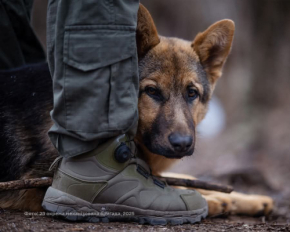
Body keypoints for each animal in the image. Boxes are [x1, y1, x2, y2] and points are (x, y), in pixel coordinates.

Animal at [0, 4, 272, 217]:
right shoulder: (35, 186)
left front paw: (248, 198)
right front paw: (216, 200)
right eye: (151, 91)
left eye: (192, 93)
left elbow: (192, 178)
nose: (182, 144)